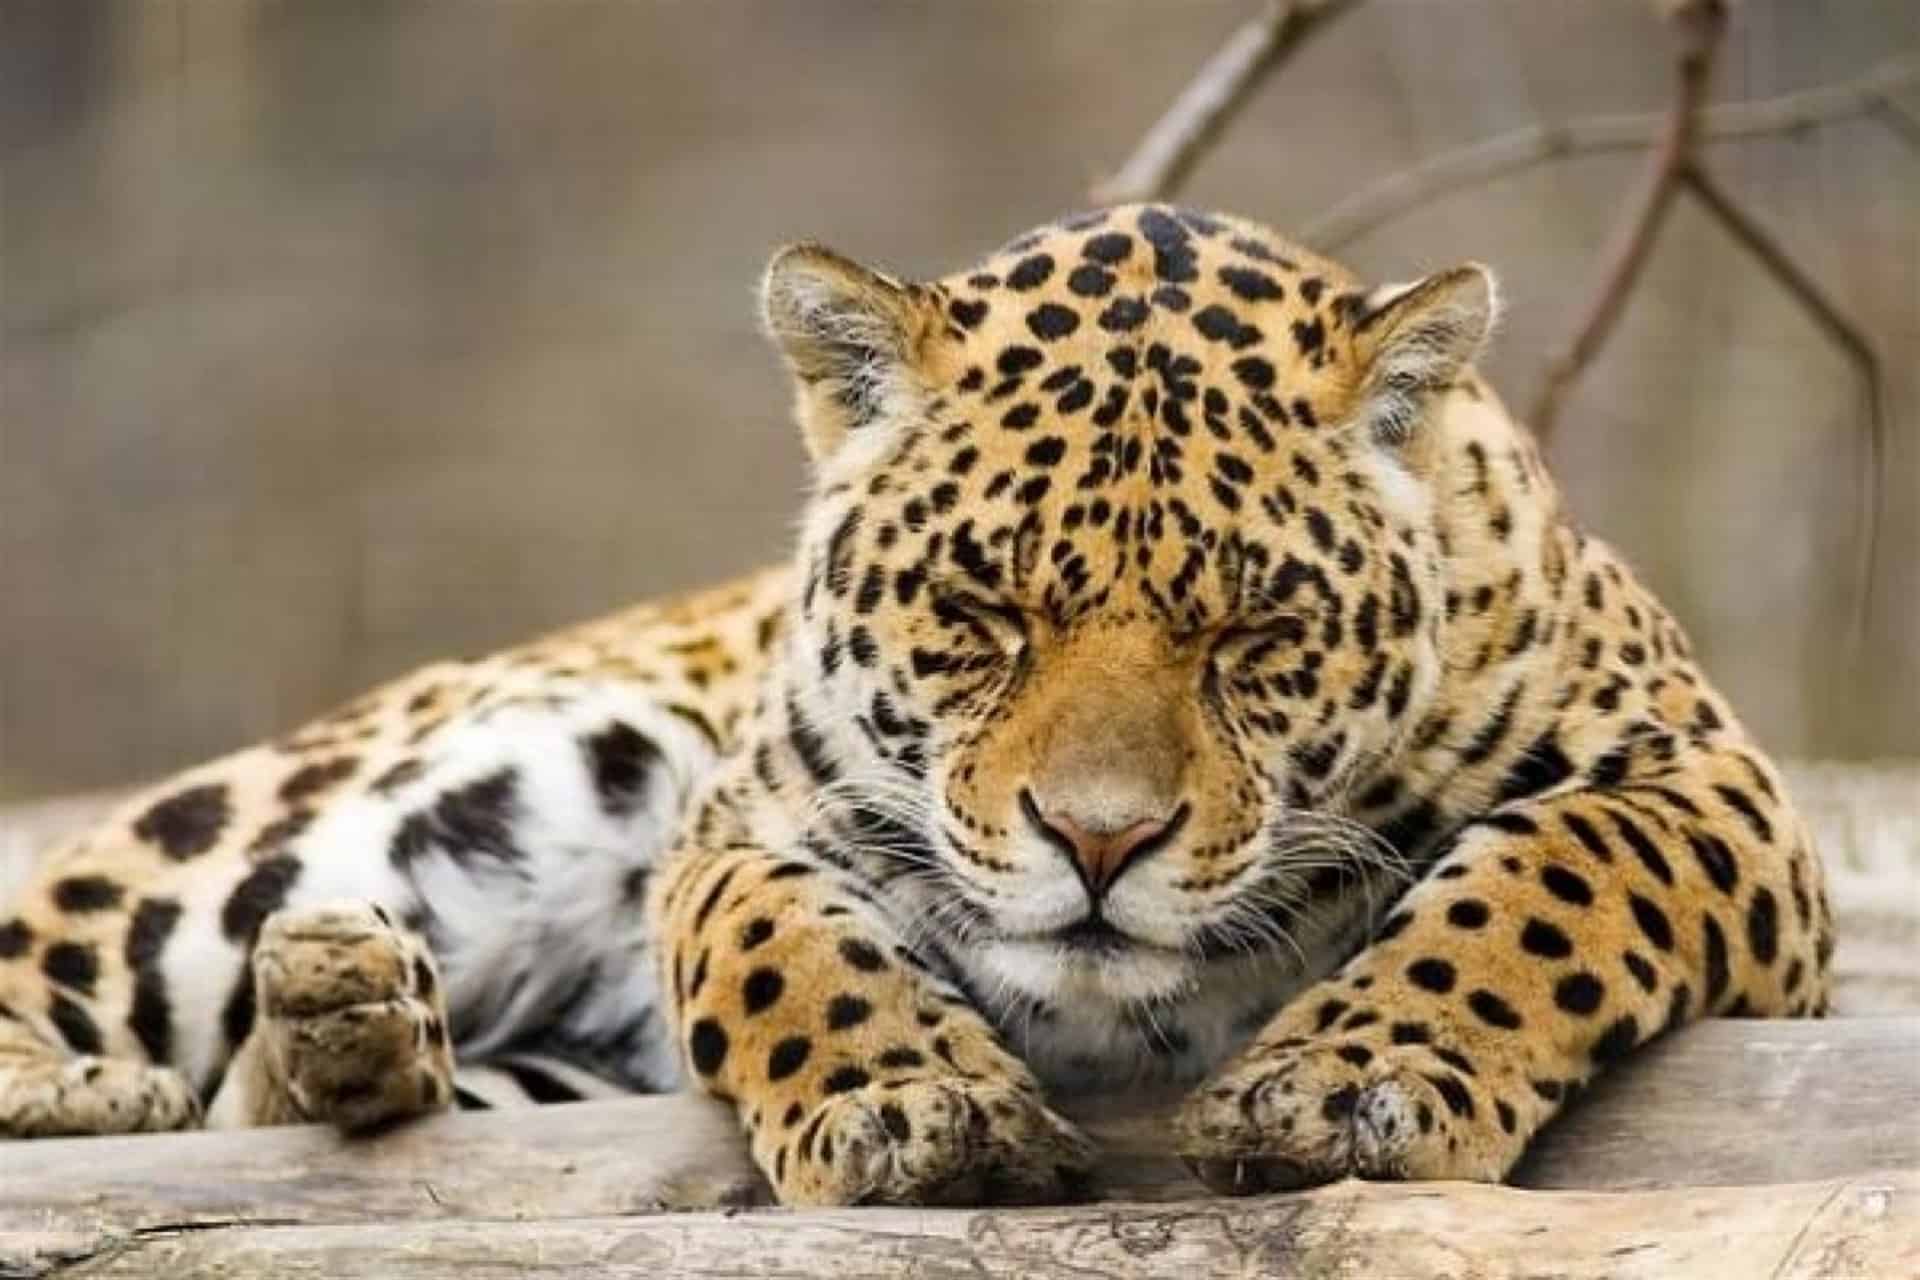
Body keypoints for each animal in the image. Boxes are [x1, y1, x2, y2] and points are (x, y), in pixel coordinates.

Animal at [0, 204, 1833, 1206]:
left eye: (1251, 632)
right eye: (983, 612)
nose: (1100, 846)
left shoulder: (1714, 790)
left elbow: (1543, 881)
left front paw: (1356, 1079)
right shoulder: (739, 826)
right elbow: (779, 948)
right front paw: (912, 1107)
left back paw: (344, 1031)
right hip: (512, 758)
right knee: (77, 936)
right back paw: (140, 1070)